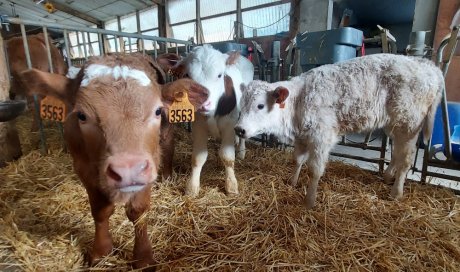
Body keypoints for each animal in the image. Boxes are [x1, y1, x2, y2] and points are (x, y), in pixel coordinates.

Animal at [20, 53, 208, 270]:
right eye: (81, 115)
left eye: (157, 111)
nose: (128, 171)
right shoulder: (83, 168)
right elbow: (101, 211)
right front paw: (101, 251)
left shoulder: (148, 164)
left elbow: (138, 211)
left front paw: (143, 257)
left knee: (168, 147)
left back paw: (167, 177)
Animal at [160, 45, 255, 197]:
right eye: (187, 76)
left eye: (220, 75)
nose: (203, 103)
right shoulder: (198, 125)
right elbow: (198, 157)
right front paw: (192, 187)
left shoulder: (229, 124)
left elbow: (227, 156)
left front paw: (231, 186)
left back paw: (241, 151)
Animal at [235, 54, 444, 209]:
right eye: (241, 105)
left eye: (260, 105)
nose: (239, 129)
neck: (299, 101)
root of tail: (427, 65)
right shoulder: (302, 136)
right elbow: (298, 160)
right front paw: (293, 182)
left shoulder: (322, 137)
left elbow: (314, 170)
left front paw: (309, 201)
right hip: (394, 126)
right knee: (397, 154)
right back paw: (387, 176)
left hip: (409, 125)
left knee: (406, 159)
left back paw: (396, 192)